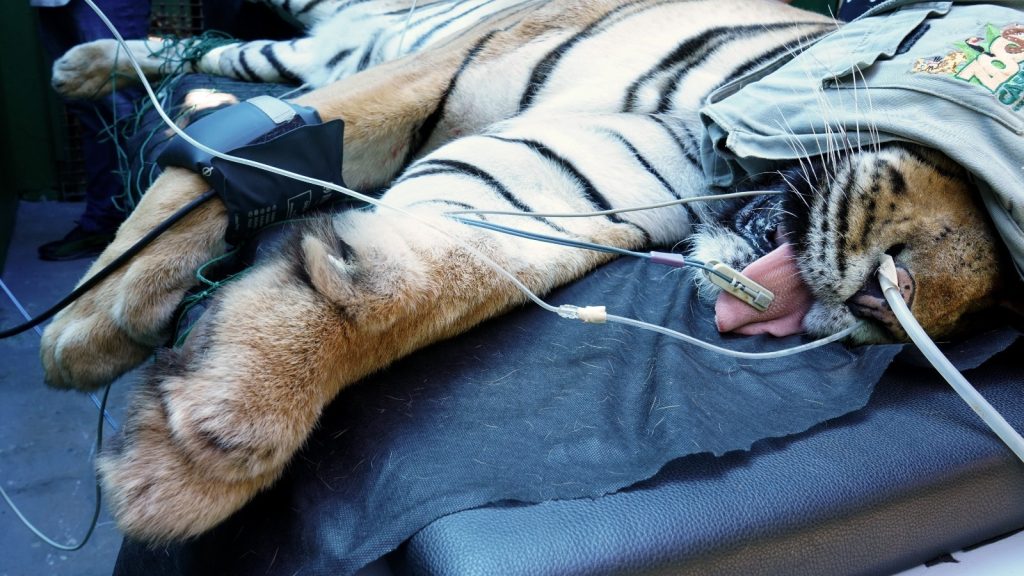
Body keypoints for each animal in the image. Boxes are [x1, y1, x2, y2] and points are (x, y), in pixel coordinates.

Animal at [40, 0, 1014, 542]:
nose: (887, 308)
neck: (711, 155)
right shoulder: (444, 68)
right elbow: (212, 174)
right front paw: (90, 325)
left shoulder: (565, 172)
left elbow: (432, 272)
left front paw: (208, 431)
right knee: (225, 63)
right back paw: (91, 69)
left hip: (303, 53)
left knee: (219, 54)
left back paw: (103, 71)